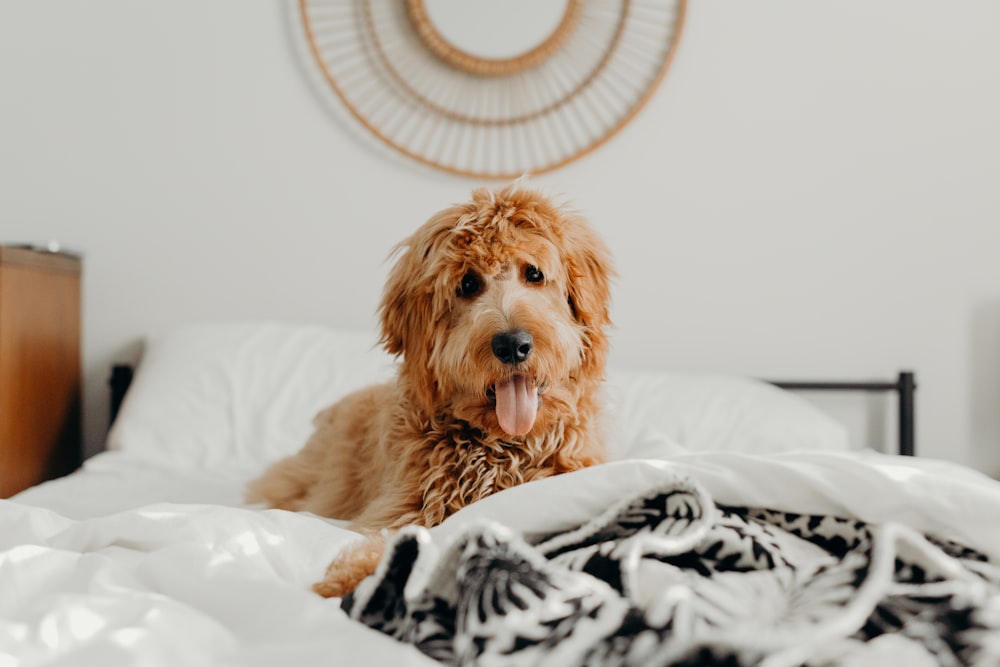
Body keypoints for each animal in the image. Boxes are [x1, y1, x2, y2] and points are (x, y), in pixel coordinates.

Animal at [246, 183, 612, 596]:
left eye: (534, 273)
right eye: (468, 284)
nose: (512, 344)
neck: (502, 449)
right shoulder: (403, 507)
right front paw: (354, 575)